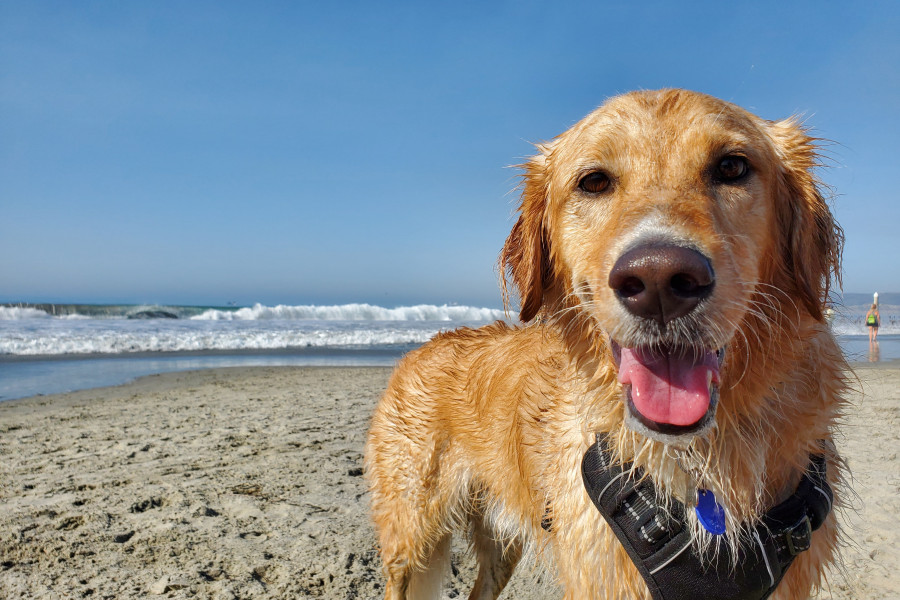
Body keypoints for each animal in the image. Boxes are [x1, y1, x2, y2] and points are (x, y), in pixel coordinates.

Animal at [362, 89, 848, 600]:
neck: (696, 463)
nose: (659, 281)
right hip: (411, 539)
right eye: (593, 181)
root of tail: (425, 344)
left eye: (732, 167)